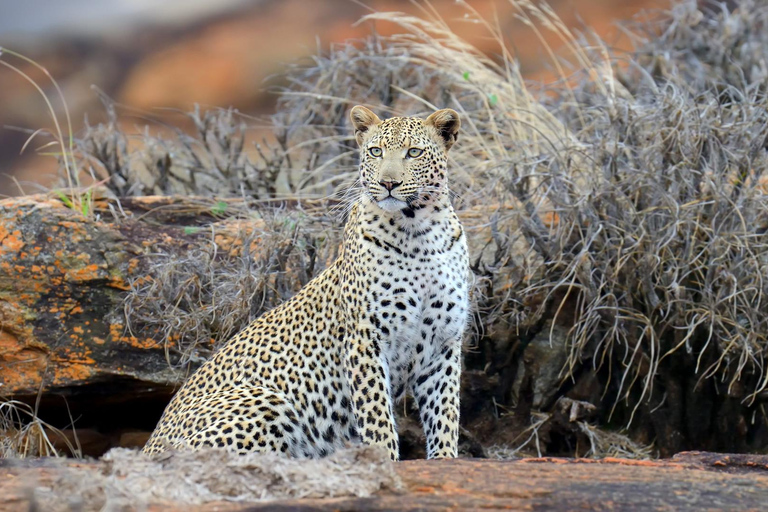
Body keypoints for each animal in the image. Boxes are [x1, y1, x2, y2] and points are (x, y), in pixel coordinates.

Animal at [141, 106, 472, 462]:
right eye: (375, 152)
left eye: (414, 153)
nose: (388, 183)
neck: (419, 232)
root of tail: (148, 444)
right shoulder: (365, 337)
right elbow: (376, 414)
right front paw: (383, 460)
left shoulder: (443, 342)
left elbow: (445, 413)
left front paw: (445, 460)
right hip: (265, 401)